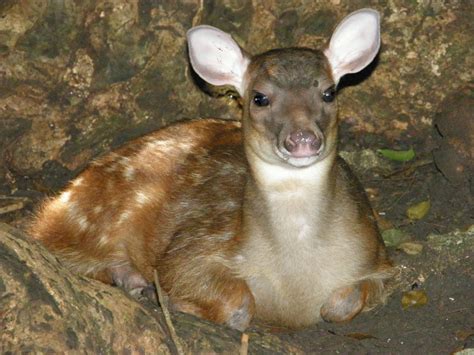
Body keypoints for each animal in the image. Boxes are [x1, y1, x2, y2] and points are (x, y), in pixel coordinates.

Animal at [28, 9, 392, 332]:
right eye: (259, 98)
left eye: (329, 93)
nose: (302, 139)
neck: (295, 287)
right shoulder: (194, 247)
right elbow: (237, 304)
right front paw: (168, 298)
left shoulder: (377, 256)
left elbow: (342, 304)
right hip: (91, 220)